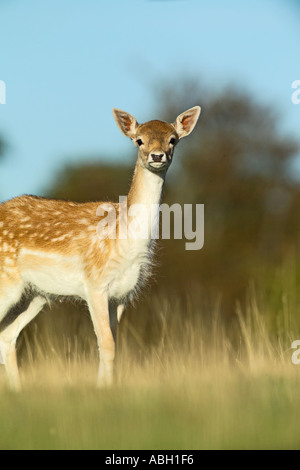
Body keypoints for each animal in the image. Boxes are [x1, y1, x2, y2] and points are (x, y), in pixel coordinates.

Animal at [0, 105, 202, 390]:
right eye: (138, 140)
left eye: (173, 139)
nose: (157, 155)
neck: (125, 242)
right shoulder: (94, 284)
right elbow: (105, 344)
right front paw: (101, 389)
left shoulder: (121, 295)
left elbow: (114, 345)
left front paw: (108, 387)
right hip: (7, 283)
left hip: (34, 294)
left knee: (7, 336)